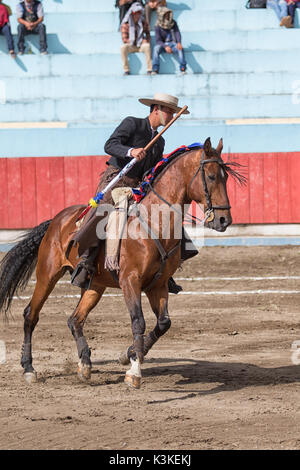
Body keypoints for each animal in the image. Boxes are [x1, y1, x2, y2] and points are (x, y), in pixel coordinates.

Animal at [0, 138, 244, 388]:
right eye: (212, 176)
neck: (154, 222)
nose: (224, 220)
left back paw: (85, 364)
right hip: (47, 273)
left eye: (225, 177)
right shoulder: (130, 281)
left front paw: (129, 354)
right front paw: (134, 372)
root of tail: (55, 220)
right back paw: (29, 368)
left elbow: (163, 323)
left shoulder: (159, 285)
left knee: (75, 319)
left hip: (95, 285)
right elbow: (138, 322)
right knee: (31, 314)